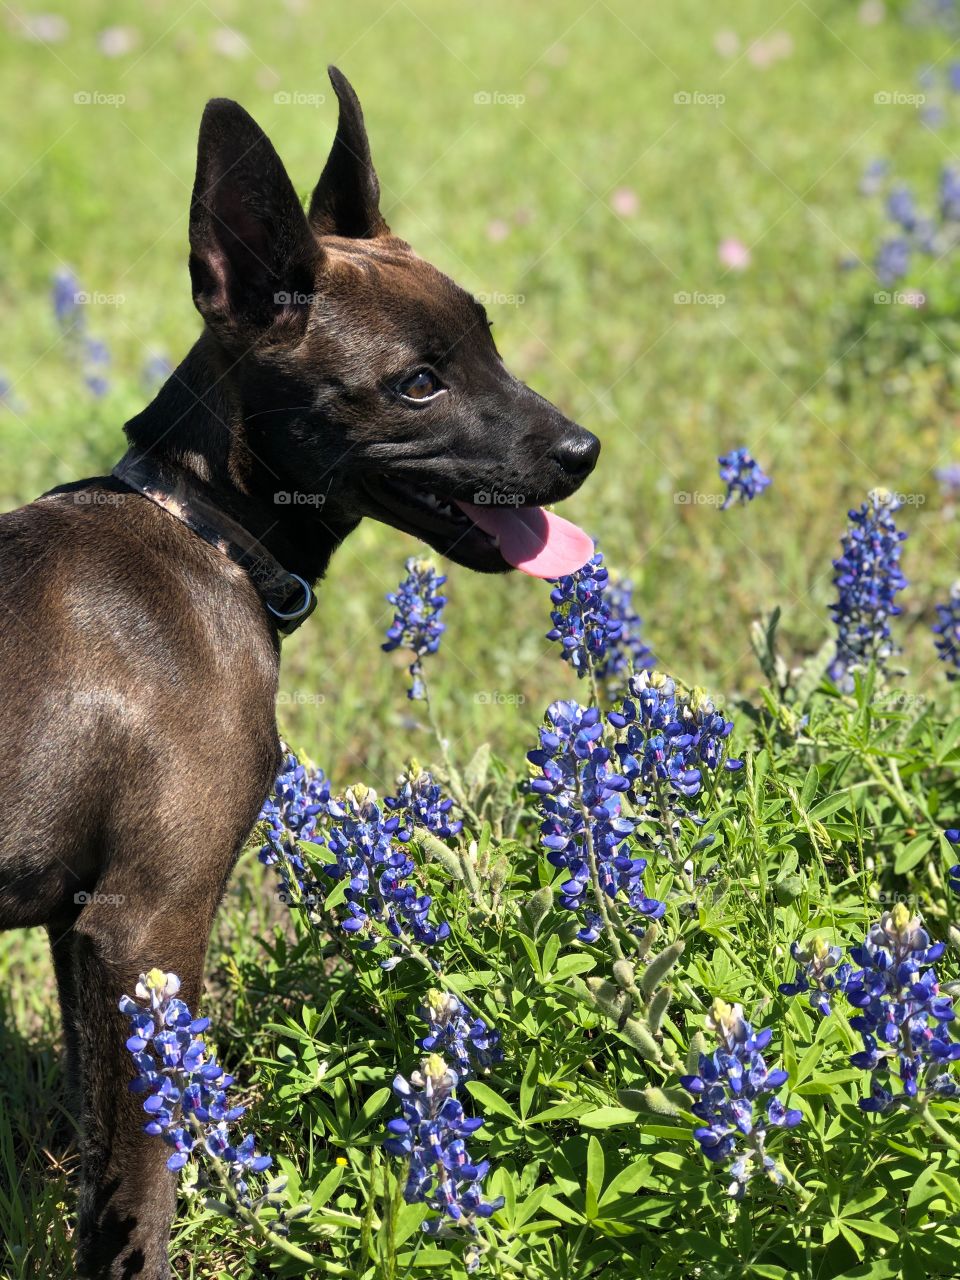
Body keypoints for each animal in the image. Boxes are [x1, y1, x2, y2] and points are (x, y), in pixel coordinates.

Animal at [0, 72, 601, 1280]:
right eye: (416, 384)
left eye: (489, 342)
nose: (582, 451)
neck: (207, 532)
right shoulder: (148, 920)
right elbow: (143, 1188)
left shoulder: (83, 930)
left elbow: (96, 1163)